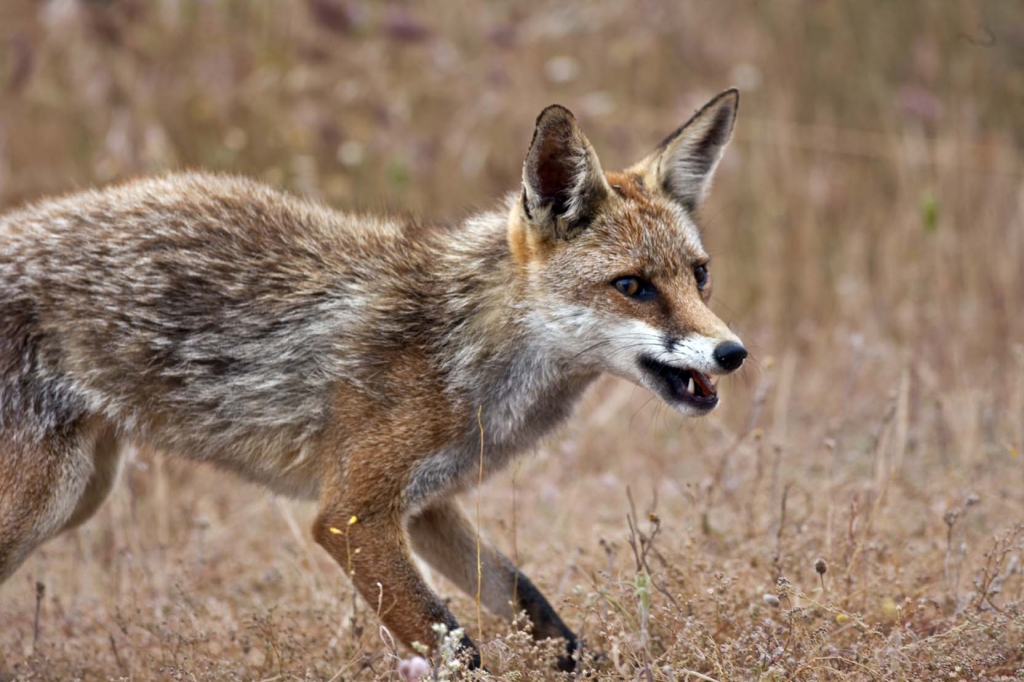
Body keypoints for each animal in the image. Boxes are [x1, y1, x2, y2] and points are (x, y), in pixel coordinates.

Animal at [0, 87, 749, 667]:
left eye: (699, 275)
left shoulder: (427, 506)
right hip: (45, 500)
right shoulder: (351, 516)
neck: (461, 349)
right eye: (633, 286)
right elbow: (455, 646)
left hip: (83, 494)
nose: (733, 353)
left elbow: (532, 605)